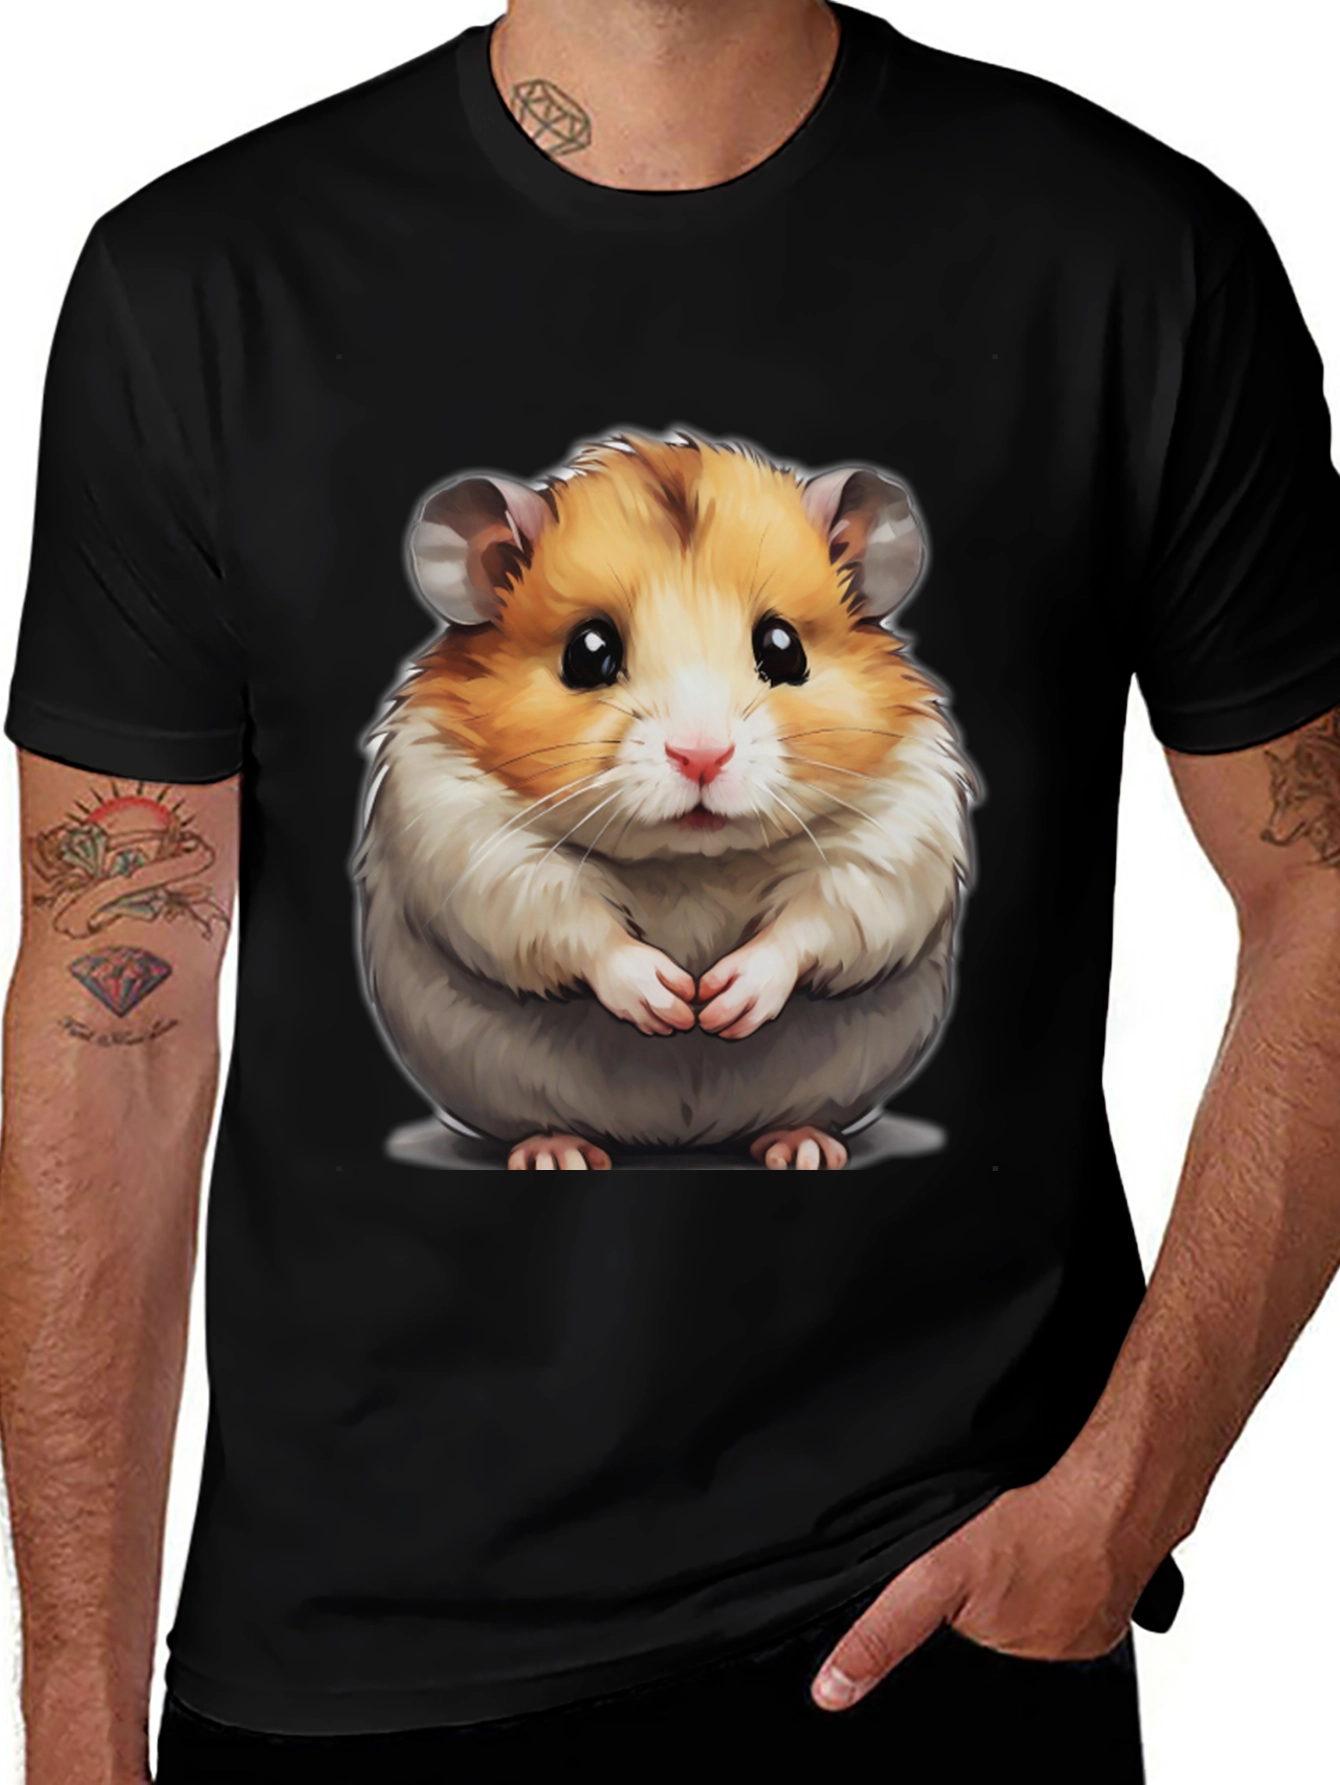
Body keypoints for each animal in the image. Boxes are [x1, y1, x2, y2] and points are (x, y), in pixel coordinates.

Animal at [356, 431, 973, 1169]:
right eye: (588, 653)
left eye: (783, 648)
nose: (702, 756)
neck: (690, 862)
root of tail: (683, 1135)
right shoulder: (464, 842)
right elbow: (566, 919)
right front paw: (674, 1004)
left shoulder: (897, 838)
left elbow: (819, 918)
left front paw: (719, 1005)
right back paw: (557, 1152)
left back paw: (804, 1148)